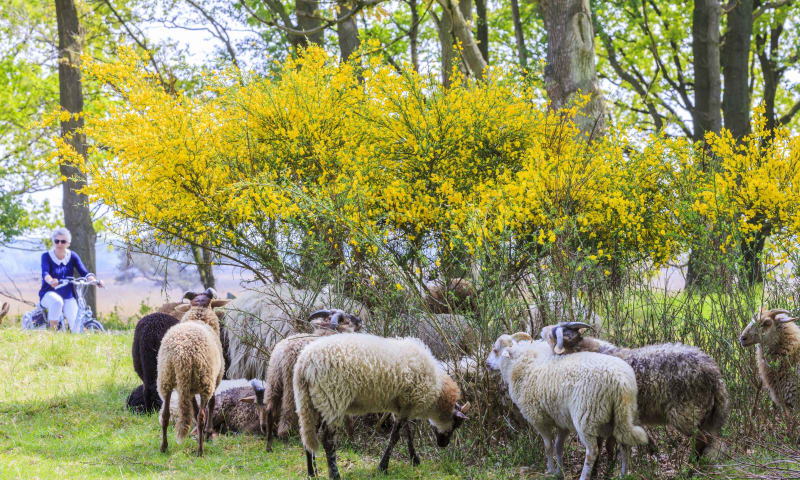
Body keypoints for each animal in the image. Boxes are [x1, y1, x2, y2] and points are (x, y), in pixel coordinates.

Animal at [262, 310, 362, 452]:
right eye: (347, 319)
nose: (360, 320)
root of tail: (281, 354)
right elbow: (347, 417)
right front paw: (350, 439)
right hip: (291, 385)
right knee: (287, 410)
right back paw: (284, 435)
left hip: (274, 380)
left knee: (269, 408)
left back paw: (269, 441)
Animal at [292, 332, 468, 478]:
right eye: (456, 424)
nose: (443, 444)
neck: (437, 392)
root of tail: (304, 364)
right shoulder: (408, 403)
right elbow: (395, 437)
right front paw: (383, 467)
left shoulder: (402, 405)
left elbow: (408, 432)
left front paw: (414, 459)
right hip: (333, 398)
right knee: (326, 437)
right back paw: (334, 474)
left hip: (309, 401)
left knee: (308, 433)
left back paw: (312, 472)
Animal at [484, 330, 648, 480]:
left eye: (495, 350)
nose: (486, 364)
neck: (521, 363)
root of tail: (621, 383)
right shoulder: (561, 419)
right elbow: (558, 447)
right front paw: (559, 472)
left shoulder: (538, 419)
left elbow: (548, 447)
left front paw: (550, 471)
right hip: (623, 414)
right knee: (625, 445)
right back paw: (623, 474)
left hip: (586, 416)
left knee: (592, 452)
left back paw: (584, 476)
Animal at [544, 322, 732, 462]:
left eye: (553, 335)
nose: (543, 329)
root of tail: (715, 373)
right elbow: (610, 446)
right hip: (704, 416)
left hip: (686, 414)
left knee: (703, 441)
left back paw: (690, 467)